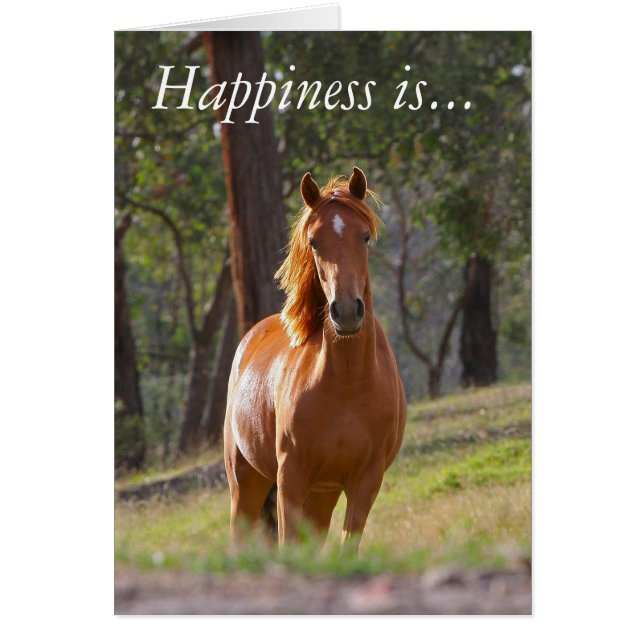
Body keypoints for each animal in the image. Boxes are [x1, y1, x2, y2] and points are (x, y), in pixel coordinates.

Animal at [223, 167, 406, 551]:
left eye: (364, 237)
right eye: (314, 242)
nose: (347, 311)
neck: (348, 383)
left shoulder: (365, 482)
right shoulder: (291, 477)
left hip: (322, 495)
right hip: (246, 484)